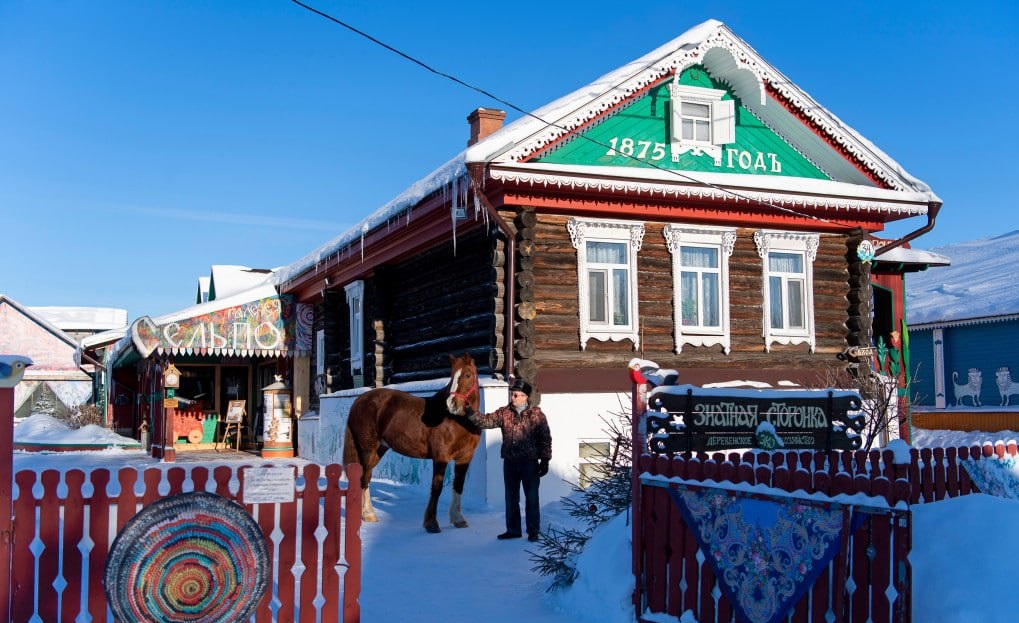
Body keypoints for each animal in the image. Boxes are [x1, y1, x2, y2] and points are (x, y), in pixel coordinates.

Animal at [342, 352, 480, 534]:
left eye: (468, 375)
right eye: (451, 376)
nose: (452, 404)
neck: (458, 421)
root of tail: (360, 400)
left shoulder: (465, 457)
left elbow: (458, 485)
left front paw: (458, 519)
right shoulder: (441, 457)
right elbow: (436, 487)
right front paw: (431, 524)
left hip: (379, 450)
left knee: (366, 477)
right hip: (367, 449)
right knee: (364, 477)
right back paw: (367, 514)